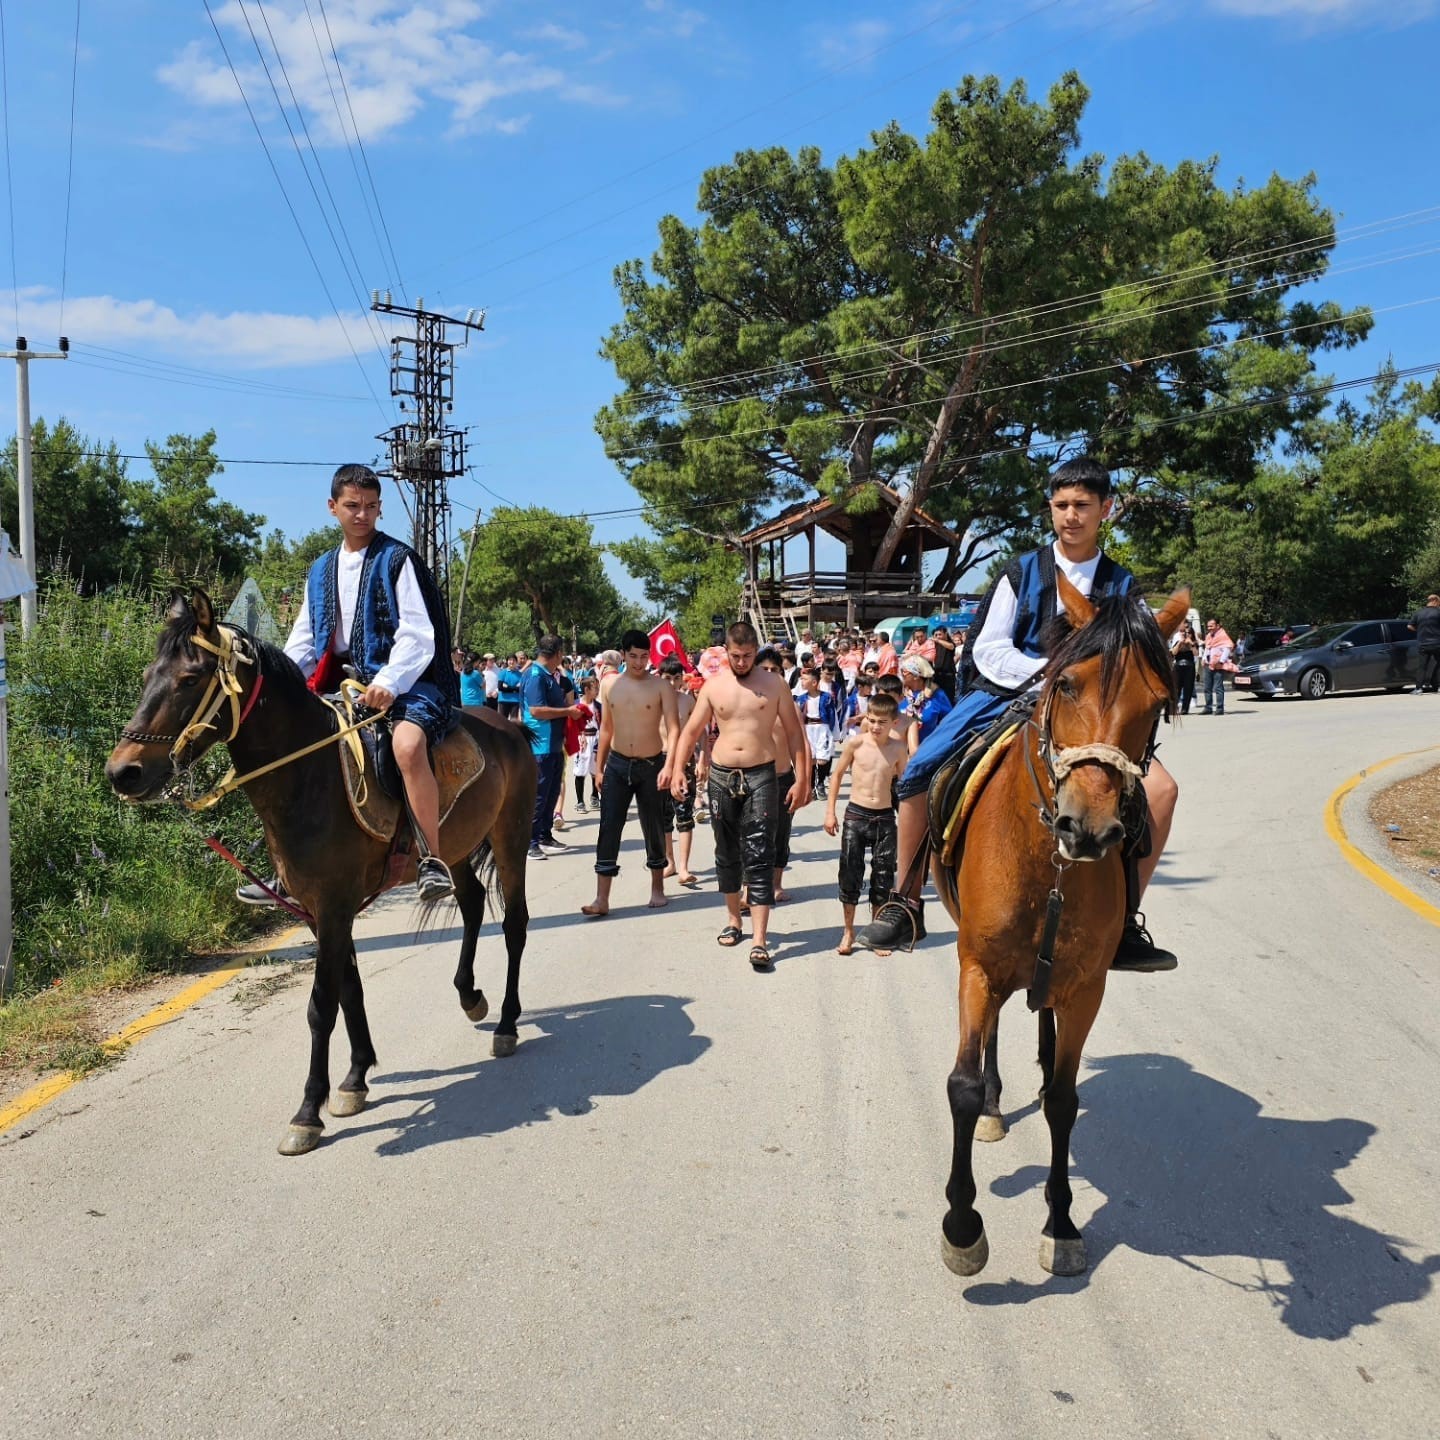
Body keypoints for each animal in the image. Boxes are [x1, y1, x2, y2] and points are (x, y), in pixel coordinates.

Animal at [104, 584, 538, 1157]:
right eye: (146, 675)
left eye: (190, 679)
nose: (123, 772)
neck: (310, 778)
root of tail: (509, 727)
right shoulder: (320, 910)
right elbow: (348, 987)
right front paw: (354, 1080)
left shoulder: (334, 906)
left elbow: (320, 1005)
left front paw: (308, 1111)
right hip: (459, 848)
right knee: (469, 906)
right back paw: (470, 996)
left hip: (510, 839)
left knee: (514, 926)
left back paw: (507, 1024)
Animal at [938, 578, 1186, 1278]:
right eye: (1067, 683)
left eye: (1157, 702)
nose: (1089, 827)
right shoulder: (979, 967)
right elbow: (963, 1086)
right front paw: (962, 1227)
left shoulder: (1085, 989)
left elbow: (1063, 1101)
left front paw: (1063, 1222)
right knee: (994, 1035)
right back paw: (997, 1108)